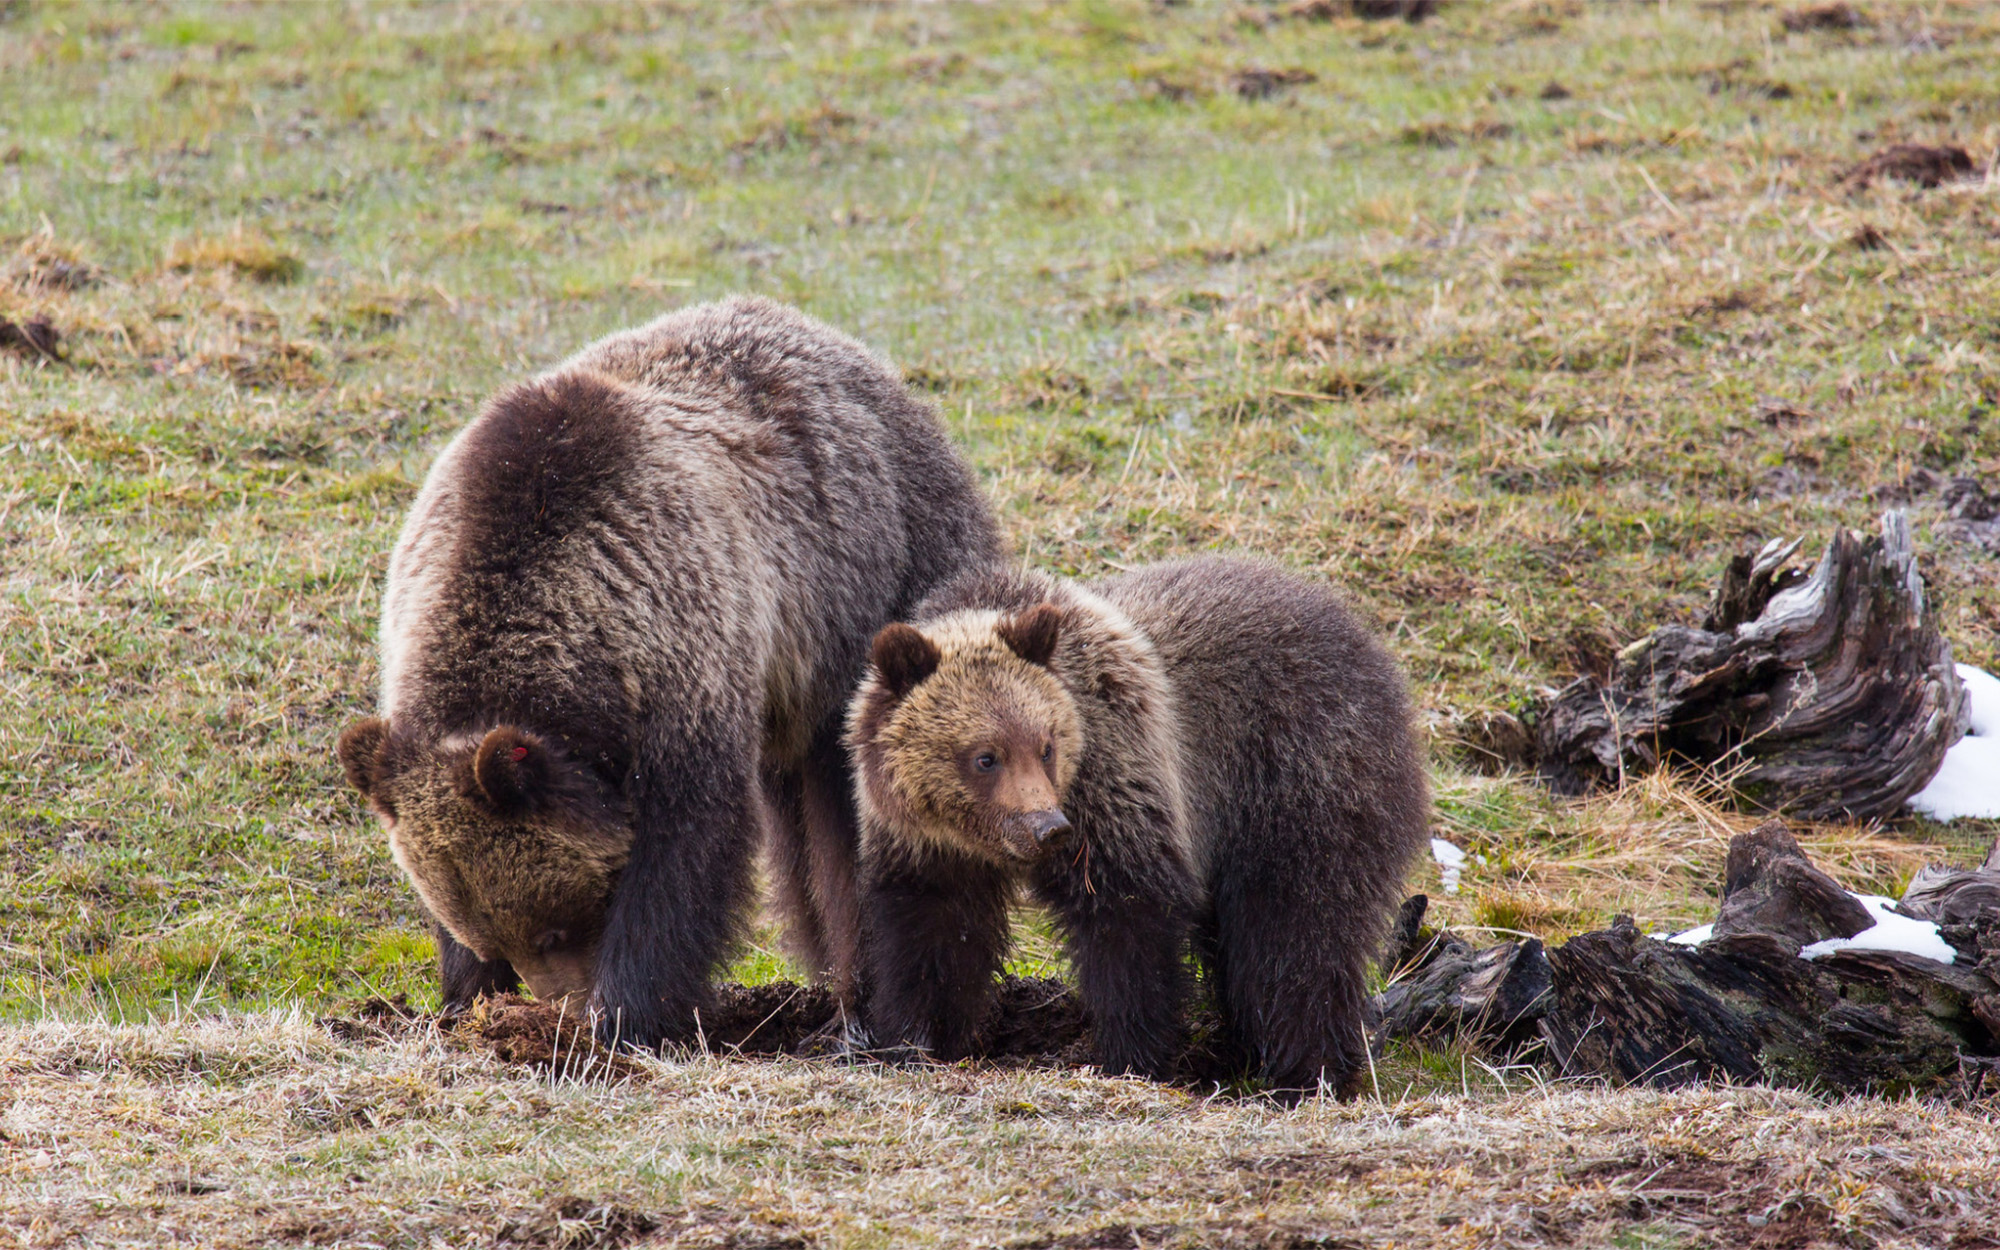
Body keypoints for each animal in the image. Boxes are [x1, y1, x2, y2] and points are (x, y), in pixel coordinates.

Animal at [340, 292, 1016, 1040]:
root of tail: (845, 347)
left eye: (554, 926)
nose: (559, 1001)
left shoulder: (678, 644)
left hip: (880, 586)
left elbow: (684, 850)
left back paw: (879, 1009)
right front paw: (468, 1000)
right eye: (502, 936)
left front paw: (621, 1013)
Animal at [852, 556, 1432, 1088]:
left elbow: (1128, 923)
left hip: (1300, 779)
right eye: (985, 757)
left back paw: (1308, 1071)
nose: (1047, 827)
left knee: (1297, 930)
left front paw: (1130, 1057)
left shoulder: (1117, 784)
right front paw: (916, 1041)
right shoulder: (925, 845)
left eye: (1046, 745)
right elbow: (934, 938)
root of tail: (1365, 640)